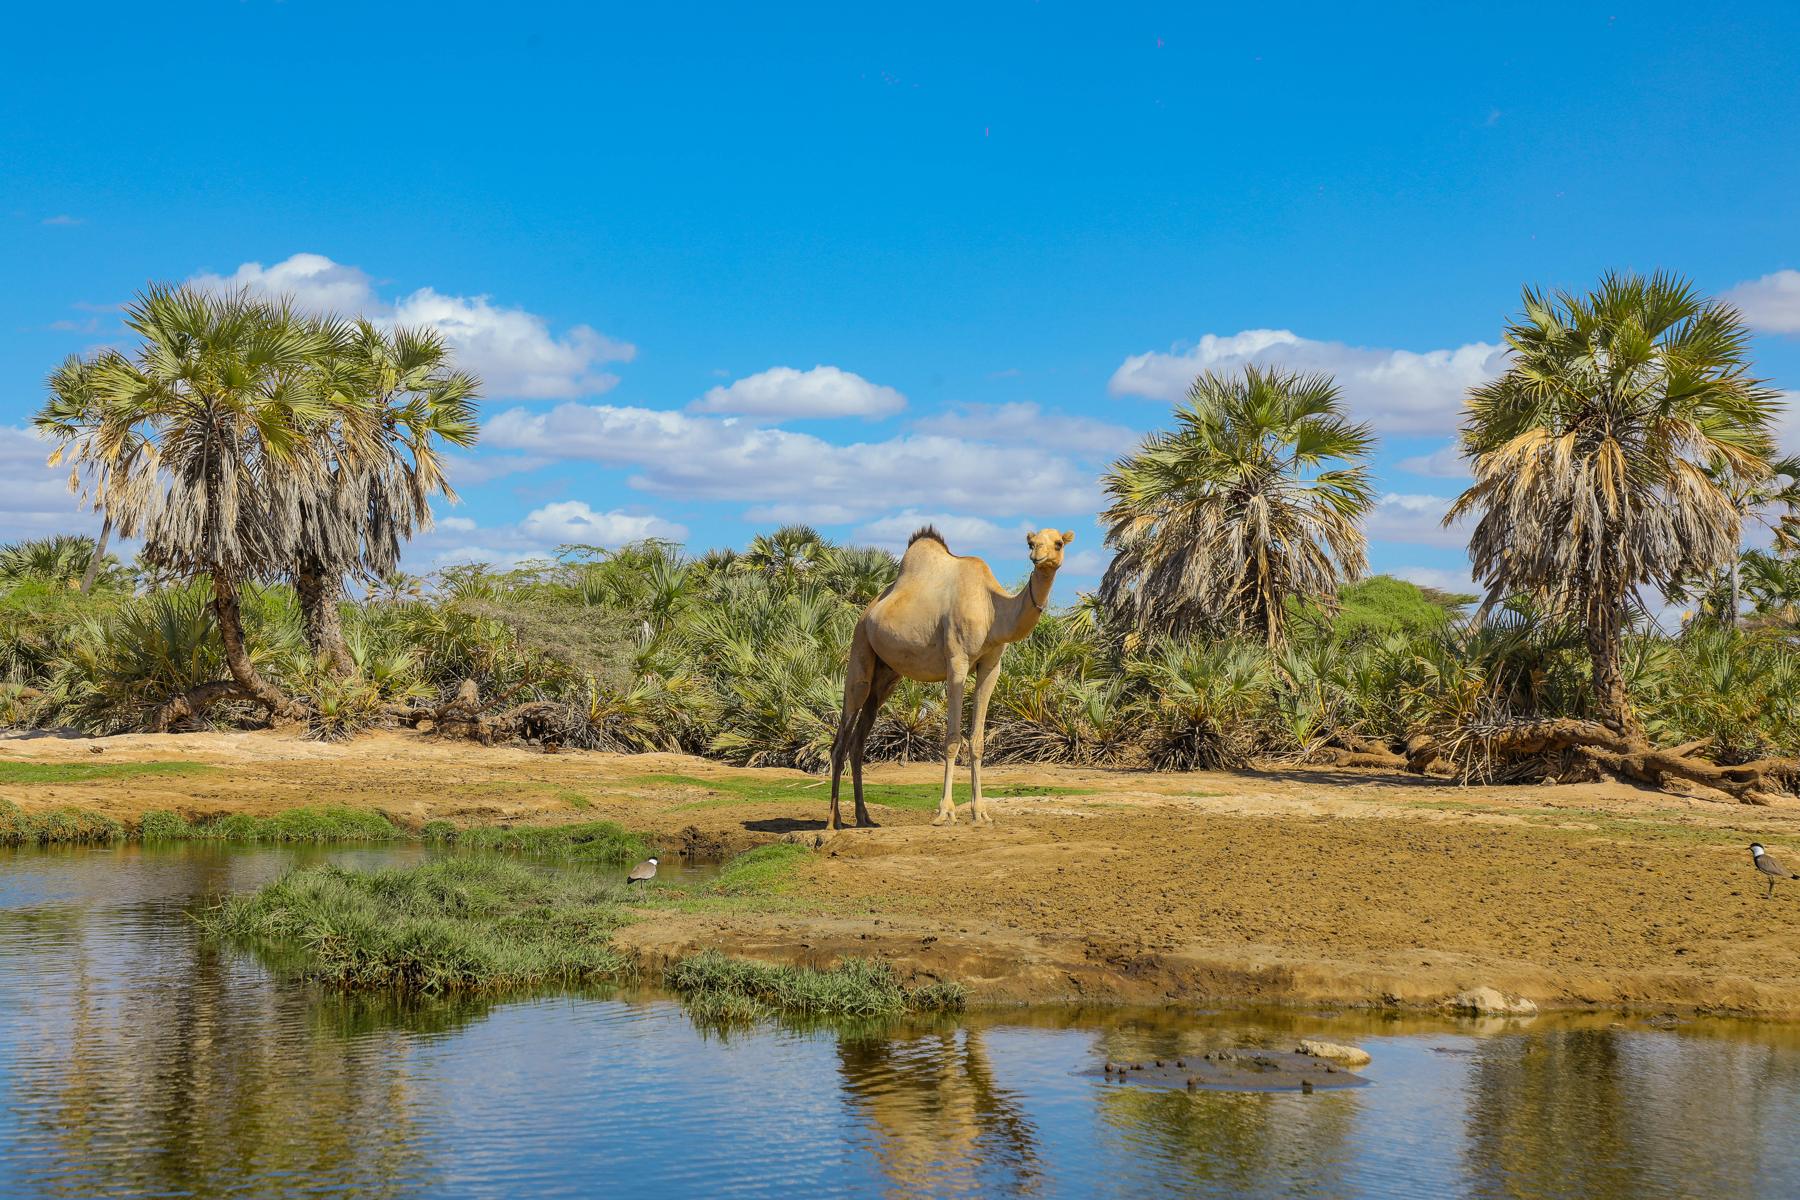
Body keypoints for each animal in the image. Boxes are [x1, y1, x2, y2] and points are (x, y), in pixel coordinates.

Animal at [828, 525, 1074, 830]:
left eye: (1059, 543)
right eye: (1031, 543)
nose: (1038, 557)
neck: (993, 611)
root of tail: (869, 610)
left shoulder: (991, 665)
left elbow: (978, 740)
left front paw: (981, 813)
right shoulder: (957, 661)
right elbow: (953, 738)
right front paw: (946, 812)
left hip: (886, 675)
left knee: (858, 740)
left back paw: (864, 817)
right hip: (860, 646)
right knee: (842, 736)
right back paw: (834, 820)